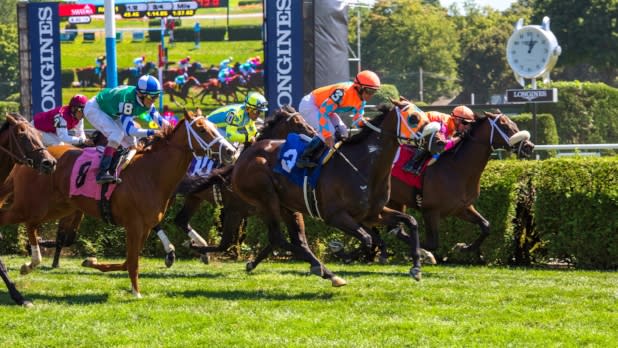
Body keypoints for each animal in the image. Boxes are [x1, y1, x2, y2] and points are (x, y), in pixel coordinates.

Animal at [231, 99, 424, 284]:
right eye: (413, 118)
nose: (430, 138)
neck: (363, 165)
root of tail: (243, 156)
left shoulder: (373, 214)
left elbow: (411, 221)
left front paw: (416, 267)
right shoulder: (335, 216)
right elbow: (368, 239)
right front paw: (340, 249)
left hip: (288, 206)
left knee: (295, 240)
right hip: (266, 198)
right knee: (278, 238)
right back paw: (326, 271)